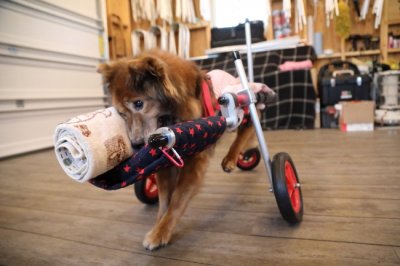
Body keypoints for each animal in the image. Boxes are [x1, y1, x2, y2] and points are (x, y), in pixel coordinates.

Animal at [97, 49, 256, 249]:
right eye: (122, 113)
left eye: (139, 103)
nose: (136, 144)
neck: (171, 117)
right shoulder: (165, 161)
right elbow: (165, 200)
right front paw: (158, 225)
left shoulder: (195, 162)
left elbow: (178, 200)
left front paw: (159, 233)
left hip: (242, 111)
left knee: (246, 129)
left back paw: (232, 158)